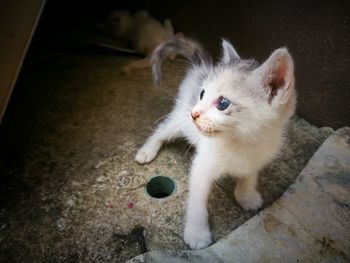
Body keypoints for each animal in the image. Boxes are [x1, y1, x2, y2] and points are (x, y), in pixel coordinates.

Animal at [134, 36, 296, 250]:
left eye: (223, 103)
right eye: (202, 94)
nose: (195, 113)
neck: (243, 142)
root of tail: (203, 66)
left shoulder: (257, 158)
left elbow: (249, 175)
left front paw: (247, 195)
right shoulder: (202, 165)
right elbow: (197, 200)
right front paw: (197, 233)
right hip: (181, 117)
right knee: (163, 129)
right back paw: (147, 150)